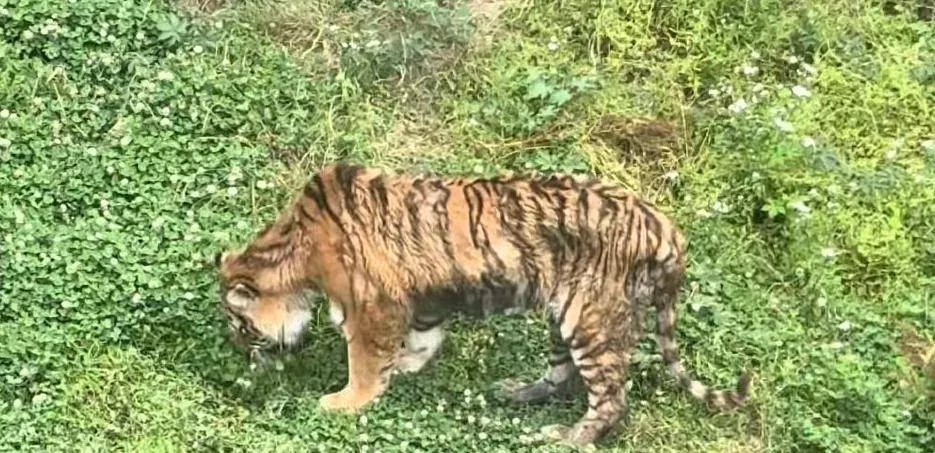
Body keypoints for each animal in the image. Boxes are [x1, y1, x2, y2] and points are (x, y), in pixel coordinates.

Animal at [215, 164, 750, 447]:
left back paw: (564, 438)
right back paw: (516, 393)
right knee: (563, 376)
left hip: (591, 319)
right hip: (564, 316)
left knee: (612, 399)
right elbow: (423, 338)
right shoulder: (421, 298)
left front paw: (344, 402)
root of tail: (668, 230)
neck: (295, 251)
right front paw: (406, 368)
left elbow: (364, 362)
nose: (242, 355)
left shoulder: (373, 307)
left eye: (241, 327)